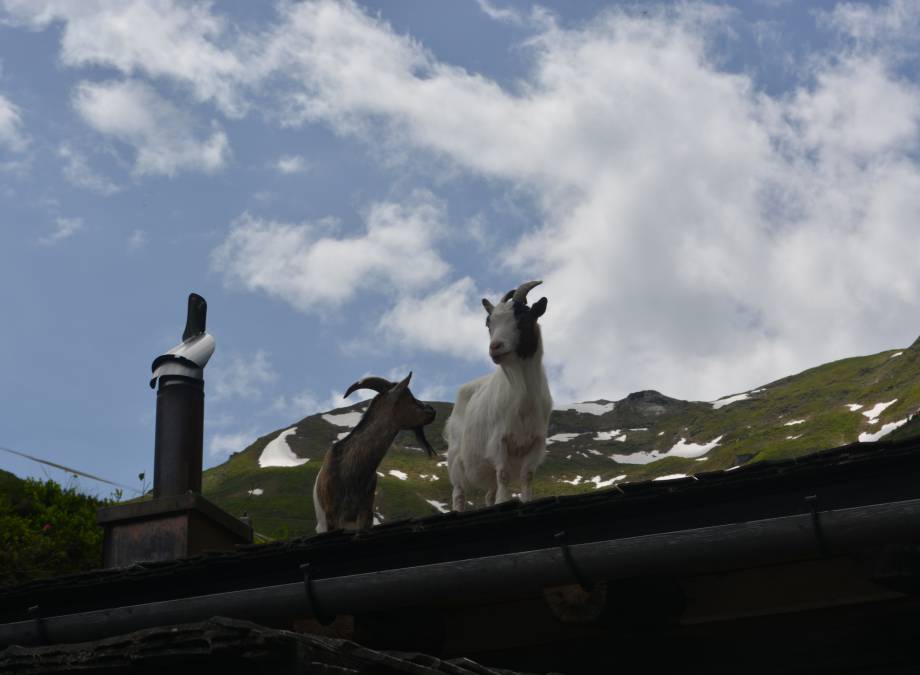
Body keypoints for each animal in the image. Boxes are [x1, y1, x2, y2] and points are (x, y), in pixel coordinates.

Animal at [448, 282, 552, 512]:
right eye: (489, 324)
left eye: (523, 318)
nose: (495, 347)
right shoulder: (499, 440)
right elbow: (503, 475)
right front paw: (504, 501)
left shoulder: (536, 442)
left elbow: (527, 476)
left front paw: (524, 499)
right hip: (455, 461)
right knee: (459, 493)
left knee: (489, 490)